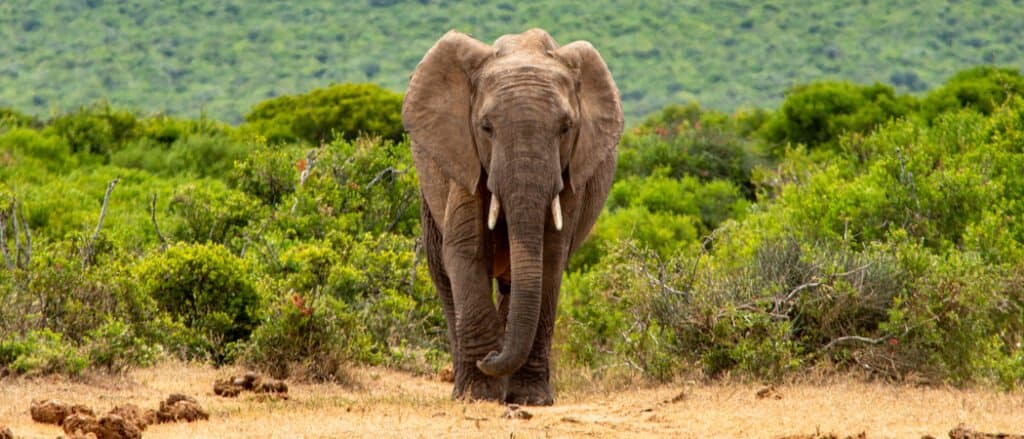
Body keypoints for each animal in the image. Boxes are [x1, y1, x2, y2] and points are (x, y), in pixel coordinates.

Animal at [399, 28, 622, 403]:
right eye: (485, 127)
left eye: (566, 128)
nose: (491, 357)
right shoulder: (466, 161)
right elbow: (466, 251)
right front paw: (478, 394)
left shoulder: (570, 177)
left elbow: (549, 258)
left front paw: (531, 399)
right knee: (443, 274)